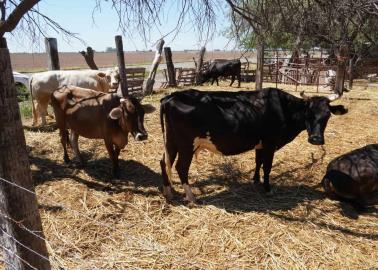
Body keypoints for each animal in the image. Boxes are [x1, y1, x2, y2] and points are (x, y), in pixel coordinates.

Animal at [158, 87, 346, 201]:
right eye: (308, 114)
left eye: (327, 115)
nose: (316, 139)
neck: (283, 108)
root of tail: (170, 96)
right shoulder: (270, 143)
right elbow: (267, 166)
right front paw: (268, 188)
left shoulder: (260, 144)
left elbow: (258, 162)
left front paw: (255, 181)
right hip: (186, 145)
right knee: (181, 167)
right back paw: (191, 197)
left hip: (171, 142)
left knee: (164, 162)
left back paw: (169, 193)